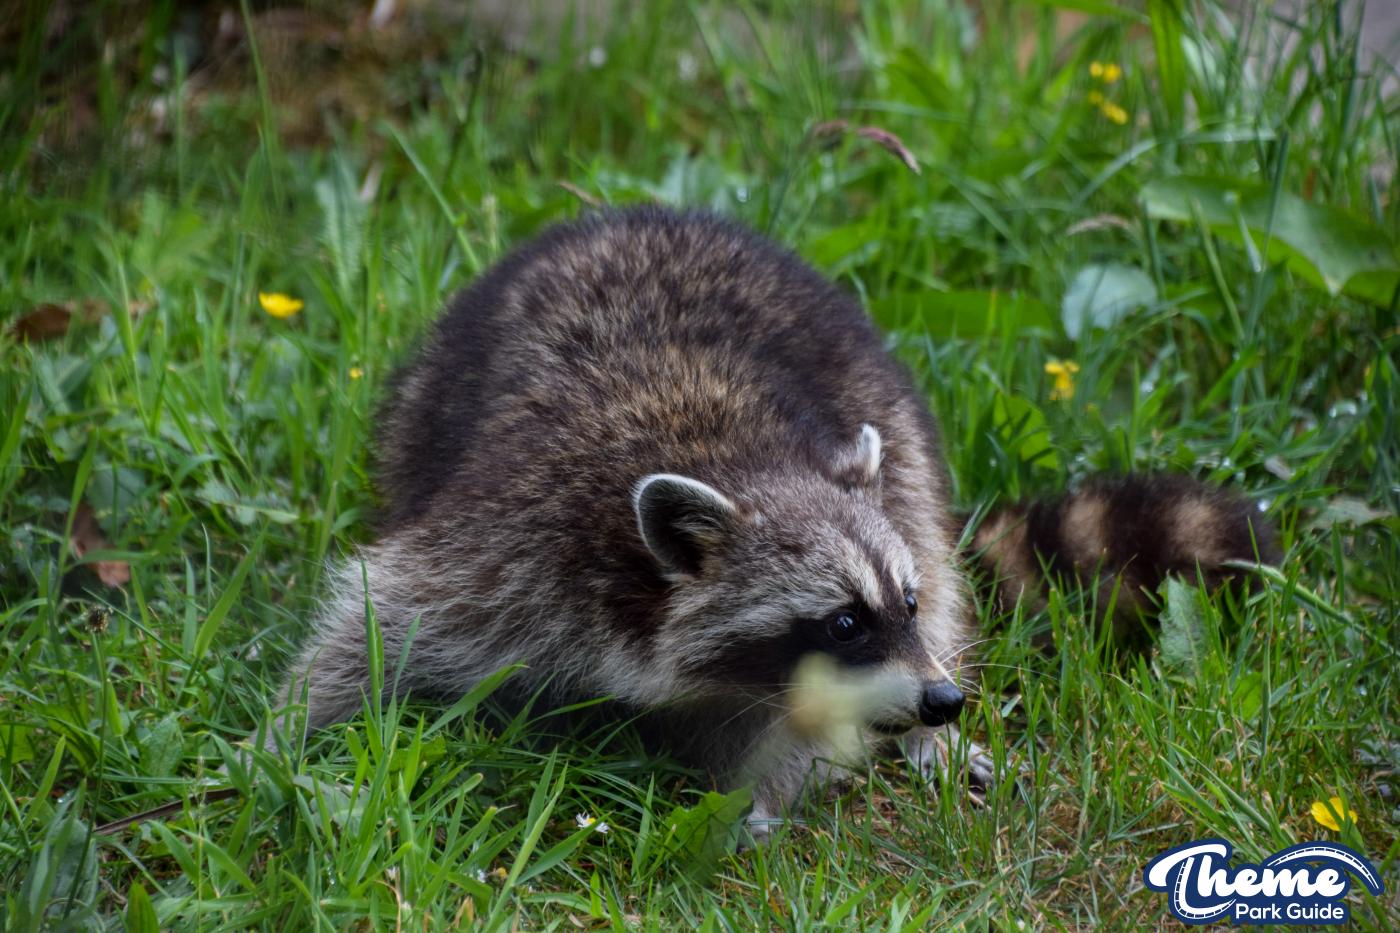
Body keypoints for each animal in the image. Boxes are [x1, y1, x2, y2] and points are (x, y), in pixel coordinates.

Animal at [271, 207, 1273, 832]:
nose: (942, 699)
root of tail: (636, 214)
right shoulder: (512, 542)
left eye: (903, 606)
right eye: (845, 620)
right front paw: (289, 740)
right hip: (423, 400)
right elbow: (382, 616)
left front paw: (766, 796)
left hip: (897, 421)